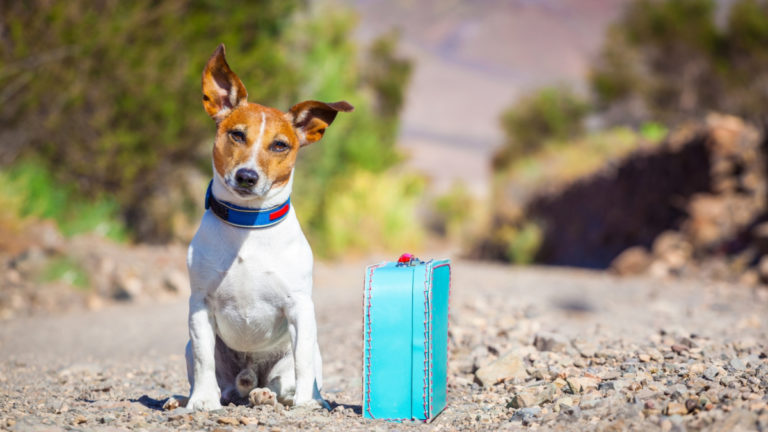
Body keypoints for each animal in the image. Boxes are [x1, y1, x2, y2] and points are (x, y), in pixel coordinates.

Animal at [184, 44, 352, 412]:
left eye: (279, 145)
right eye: (236, 134)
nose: (247, 176)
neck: (248, 224)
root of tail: (250, 375)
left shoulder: (300, 307)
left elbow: (302, 362)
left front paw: (306, 402)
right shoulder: (200, 305)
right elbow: (204, 358)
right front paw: (201, 401)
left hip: (300, 354)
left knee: (283, 380)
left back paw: (276, 395)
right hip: (198, 351)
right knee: (224, 384)